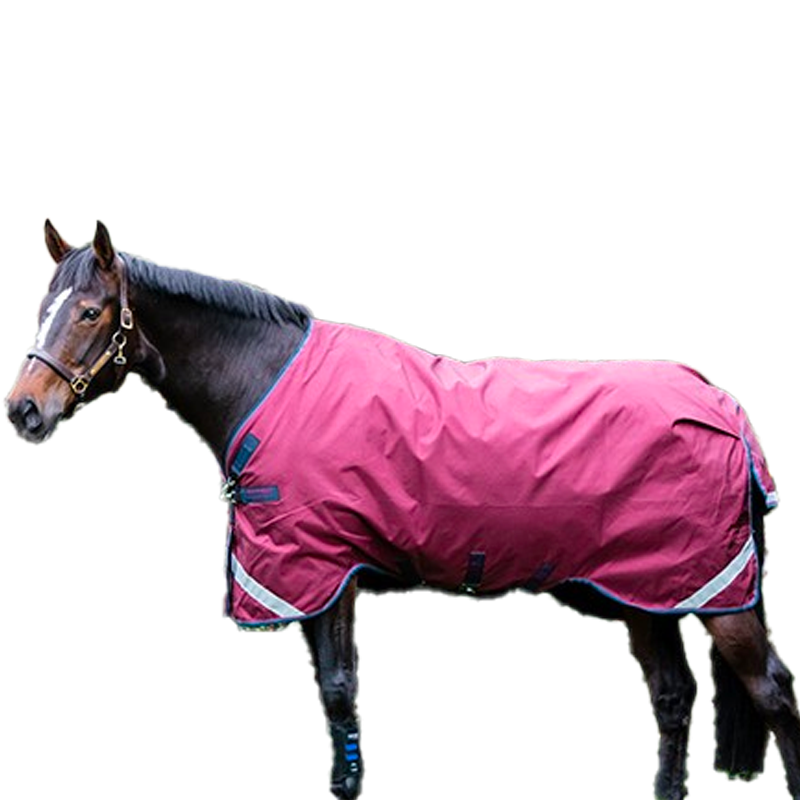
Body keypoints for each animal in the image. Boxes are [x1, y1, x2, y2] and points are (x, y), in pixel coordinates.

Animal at [6, 219, 800, 800]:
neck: (265, 382)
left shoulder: (324, 570)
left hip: (717, 593)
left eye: (88, 312)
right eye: (40, 309)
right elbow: (337, 703)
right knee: (672, 698)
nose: (23, 413)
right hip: (646, 591)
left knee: (773, 694)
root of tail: (723, 404)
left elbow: (337, 696)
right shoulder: (318, 578)